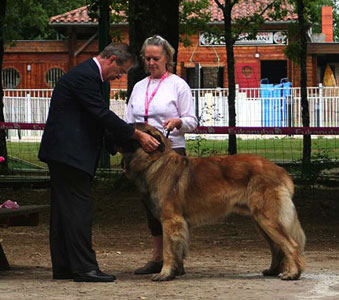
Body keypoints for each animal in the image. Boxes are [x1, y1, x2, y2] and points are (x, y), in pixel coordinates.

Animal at [119, 123, 306, 282]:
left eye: (131, 129)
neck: (155, 161)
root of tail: (281, 170)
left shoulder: (171, 220)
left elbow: (168, 250)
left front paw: (165, 274)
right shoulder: (179, 224)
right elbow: (178, 249)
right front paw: (175, 272)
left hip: (267, 218)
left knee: (291, 245)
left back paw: (293, 274)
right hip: (260, 221)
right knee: (276, 247)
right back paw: (273, 271)